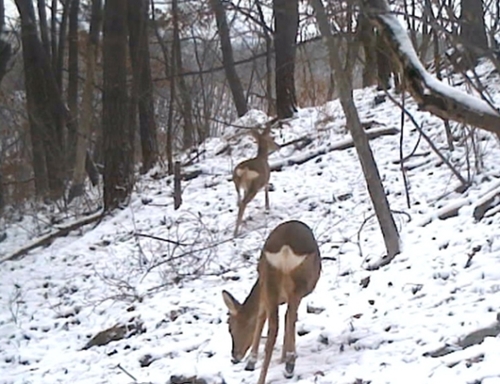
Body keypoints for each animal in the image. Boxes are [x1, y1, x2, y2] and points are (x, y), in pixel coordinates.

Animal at [222, 219, 320, 384]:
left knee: (274, 327)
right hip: (298, 283)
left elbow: (262, 317)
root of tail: (286, 249)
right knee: (288, 319)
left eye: (230, 327)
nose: (234, 357)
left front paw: (252, 361)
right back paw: (289, 364)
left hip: (270, 279)